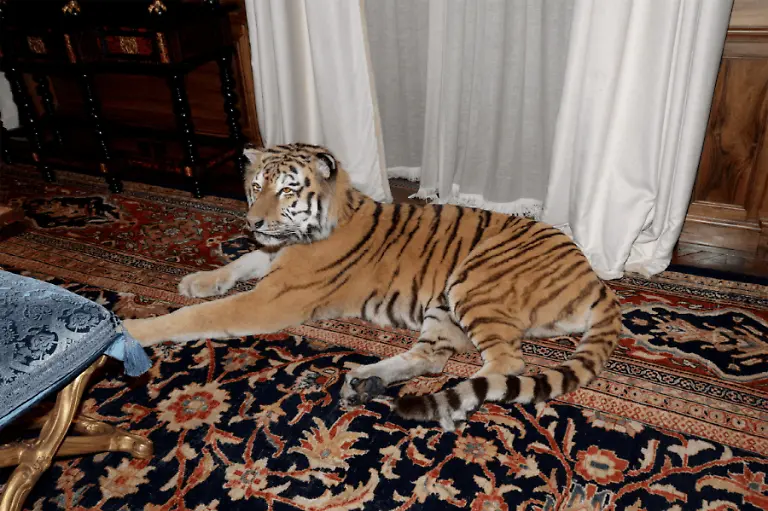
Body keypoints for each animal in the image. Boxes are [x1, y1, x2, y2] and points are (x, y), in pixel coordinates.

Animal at [124, 142, 622, 431]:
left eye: (287, 190)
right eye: (256, 187)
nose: (253, 222)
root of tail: (594, 279)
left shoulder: (270, 299)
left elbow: (195, 317)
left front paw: (130, 330)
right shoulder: (271, 258)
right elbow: (241, 261)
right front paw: (197, 280)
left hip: (476, 282)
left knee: (507, 365)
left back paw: (450, 404)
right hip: (443, 306)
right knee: (433, 357)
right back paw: (365, 382)